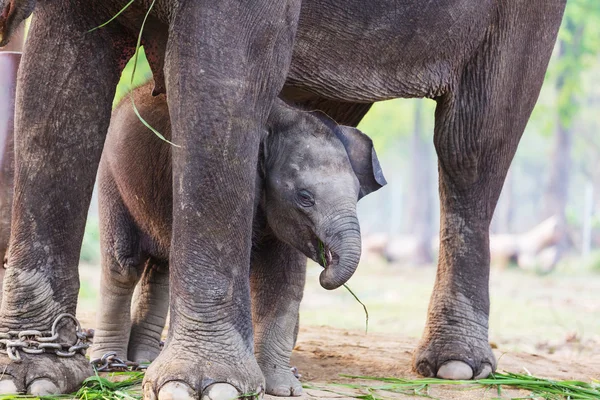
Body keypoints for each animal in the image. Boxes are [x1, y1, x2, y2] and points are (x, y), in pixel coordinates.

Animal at [91, 83, 386, 396]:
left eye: (357, 193)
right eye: (305, 198)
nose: (326, 268)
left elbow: (285, 282)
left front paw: (285, 389)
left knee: (161, 268)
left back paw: (145, 359)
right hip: (112, 179)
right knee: (124, 265)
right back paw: (111, 361)